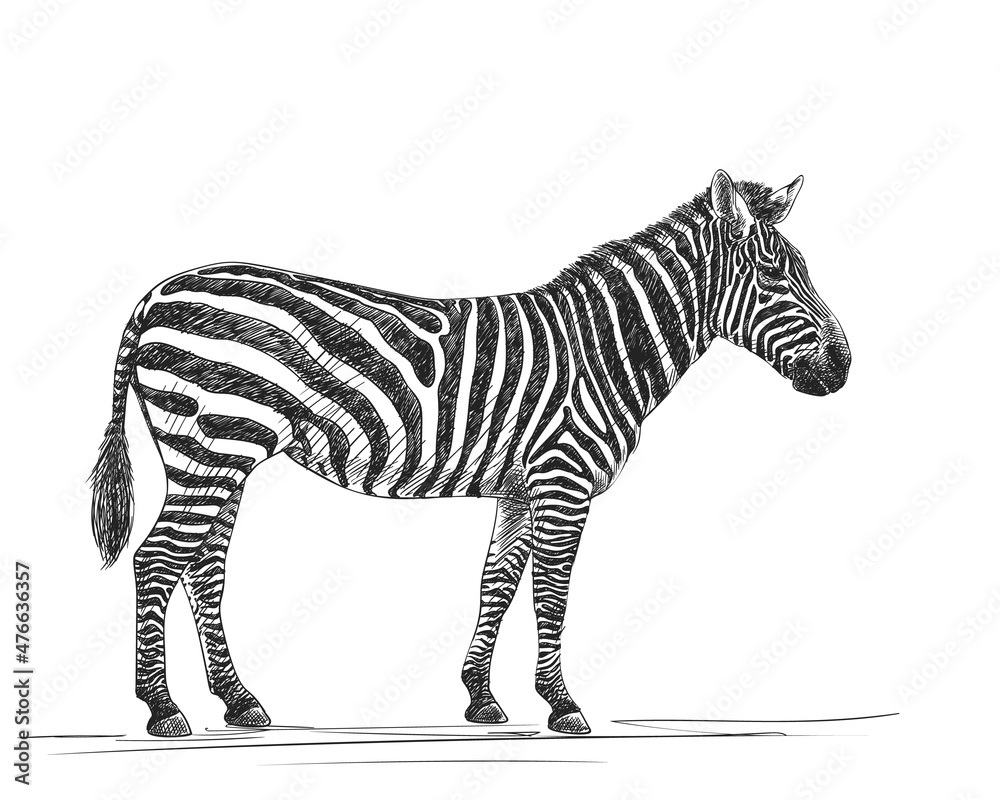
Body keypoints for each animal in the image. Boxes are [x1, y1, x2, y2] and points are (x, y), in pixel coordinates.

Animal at [90, 169, 850, 737]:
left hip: (221, 455)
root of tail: (156, 293)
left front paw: (482, 699)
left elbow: (498, 580)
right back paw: (164, 710)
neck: (605, 346)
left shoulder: (519, 485)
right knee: (158, 561)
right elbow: (551, 593)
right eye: (777, 278)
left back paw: (239, 703)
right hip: (211, 446)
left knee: (203, 568)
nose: (843, 367)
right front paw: (562, 705)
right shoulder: (563, 479)